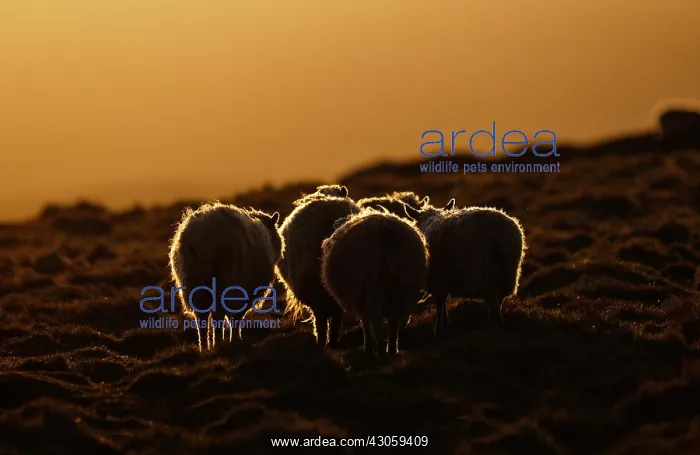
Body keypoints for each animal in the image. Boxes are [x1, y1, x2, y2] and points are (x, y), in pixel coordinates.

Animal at [169, 202, 283, 352]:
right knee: (218, 316)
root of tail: (203, 237)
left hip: (194, 285)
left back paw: (204, 347)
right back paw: (218, 343)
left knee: (201, 318)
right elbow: (236, 318)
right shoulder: (244, 293)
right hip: (224, 279)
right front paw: (235, 339)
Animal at [321, 208, 428, 354]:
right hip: (403, 286)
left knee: (376, 321)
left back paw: (379, 349)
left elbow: (366, 325)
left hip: (373, 286)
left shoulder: (359, 301)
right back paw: (392, 350)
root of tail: (386, 231)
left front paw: (367, 347)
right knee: (393, 322)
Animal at [403, 199, 526, 337]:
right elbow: (444, 301)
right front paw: (446, 323)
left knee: (494, 304)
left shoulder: (438, 282)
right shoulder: (445, 280)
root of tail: (496, 234)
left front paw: (439, 329)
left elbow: (440, 304)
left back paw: (492, 327)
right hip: (508, 274)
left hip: (483, 273)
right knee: (499, 301)